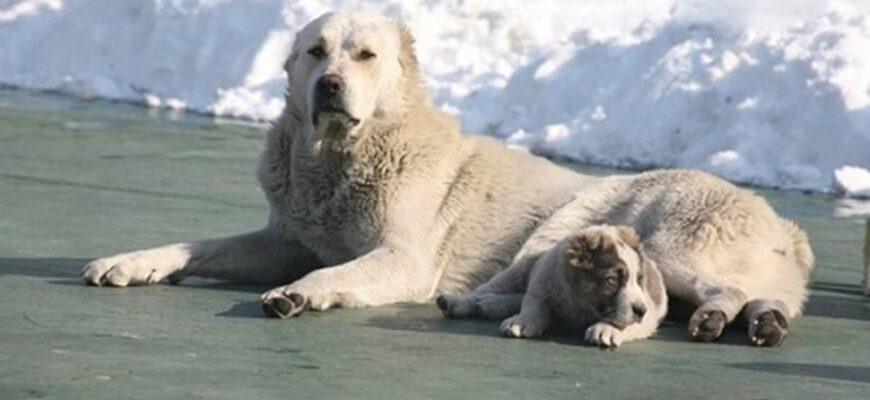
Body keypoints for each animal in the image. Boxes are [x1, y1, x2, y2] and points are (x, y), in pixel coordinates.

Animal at [82, 12, 592, 318]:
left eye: (366, 55)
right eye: (316, 51)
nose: (329, 84)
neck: (339, 158)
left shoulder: (405, 257)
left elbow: (337, 272)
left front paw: (296, 292)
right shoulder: (287, 242)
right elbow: (201, 246)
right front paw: (130, 262)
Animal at [440, 225, 672, 346]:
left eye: (639, 279)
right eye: (611, 280)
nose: (640, 310)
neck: (580, 303)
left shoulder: (649, 314)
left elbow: (627, 322)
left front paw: (607, 329)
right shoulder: (543, 281)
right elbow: (534, 307)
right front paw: (522, 322)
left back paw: (489, 304)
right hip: (520, 270)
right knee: (488, 289)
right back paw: (460, 302)